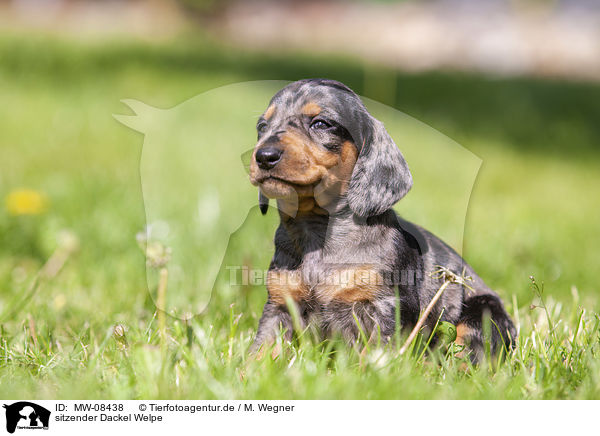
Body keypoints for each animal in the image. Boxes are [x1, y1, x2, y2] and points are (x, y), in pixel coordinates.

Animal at [248, 78, 516, 362]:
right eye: (262, 127)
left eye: (321, 123)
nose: (264, 156)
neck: (317, 228)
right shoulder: (279, 305)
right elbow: (260, 351)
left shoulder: (384, 307)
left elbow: (375, 355)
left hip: (482, 314)